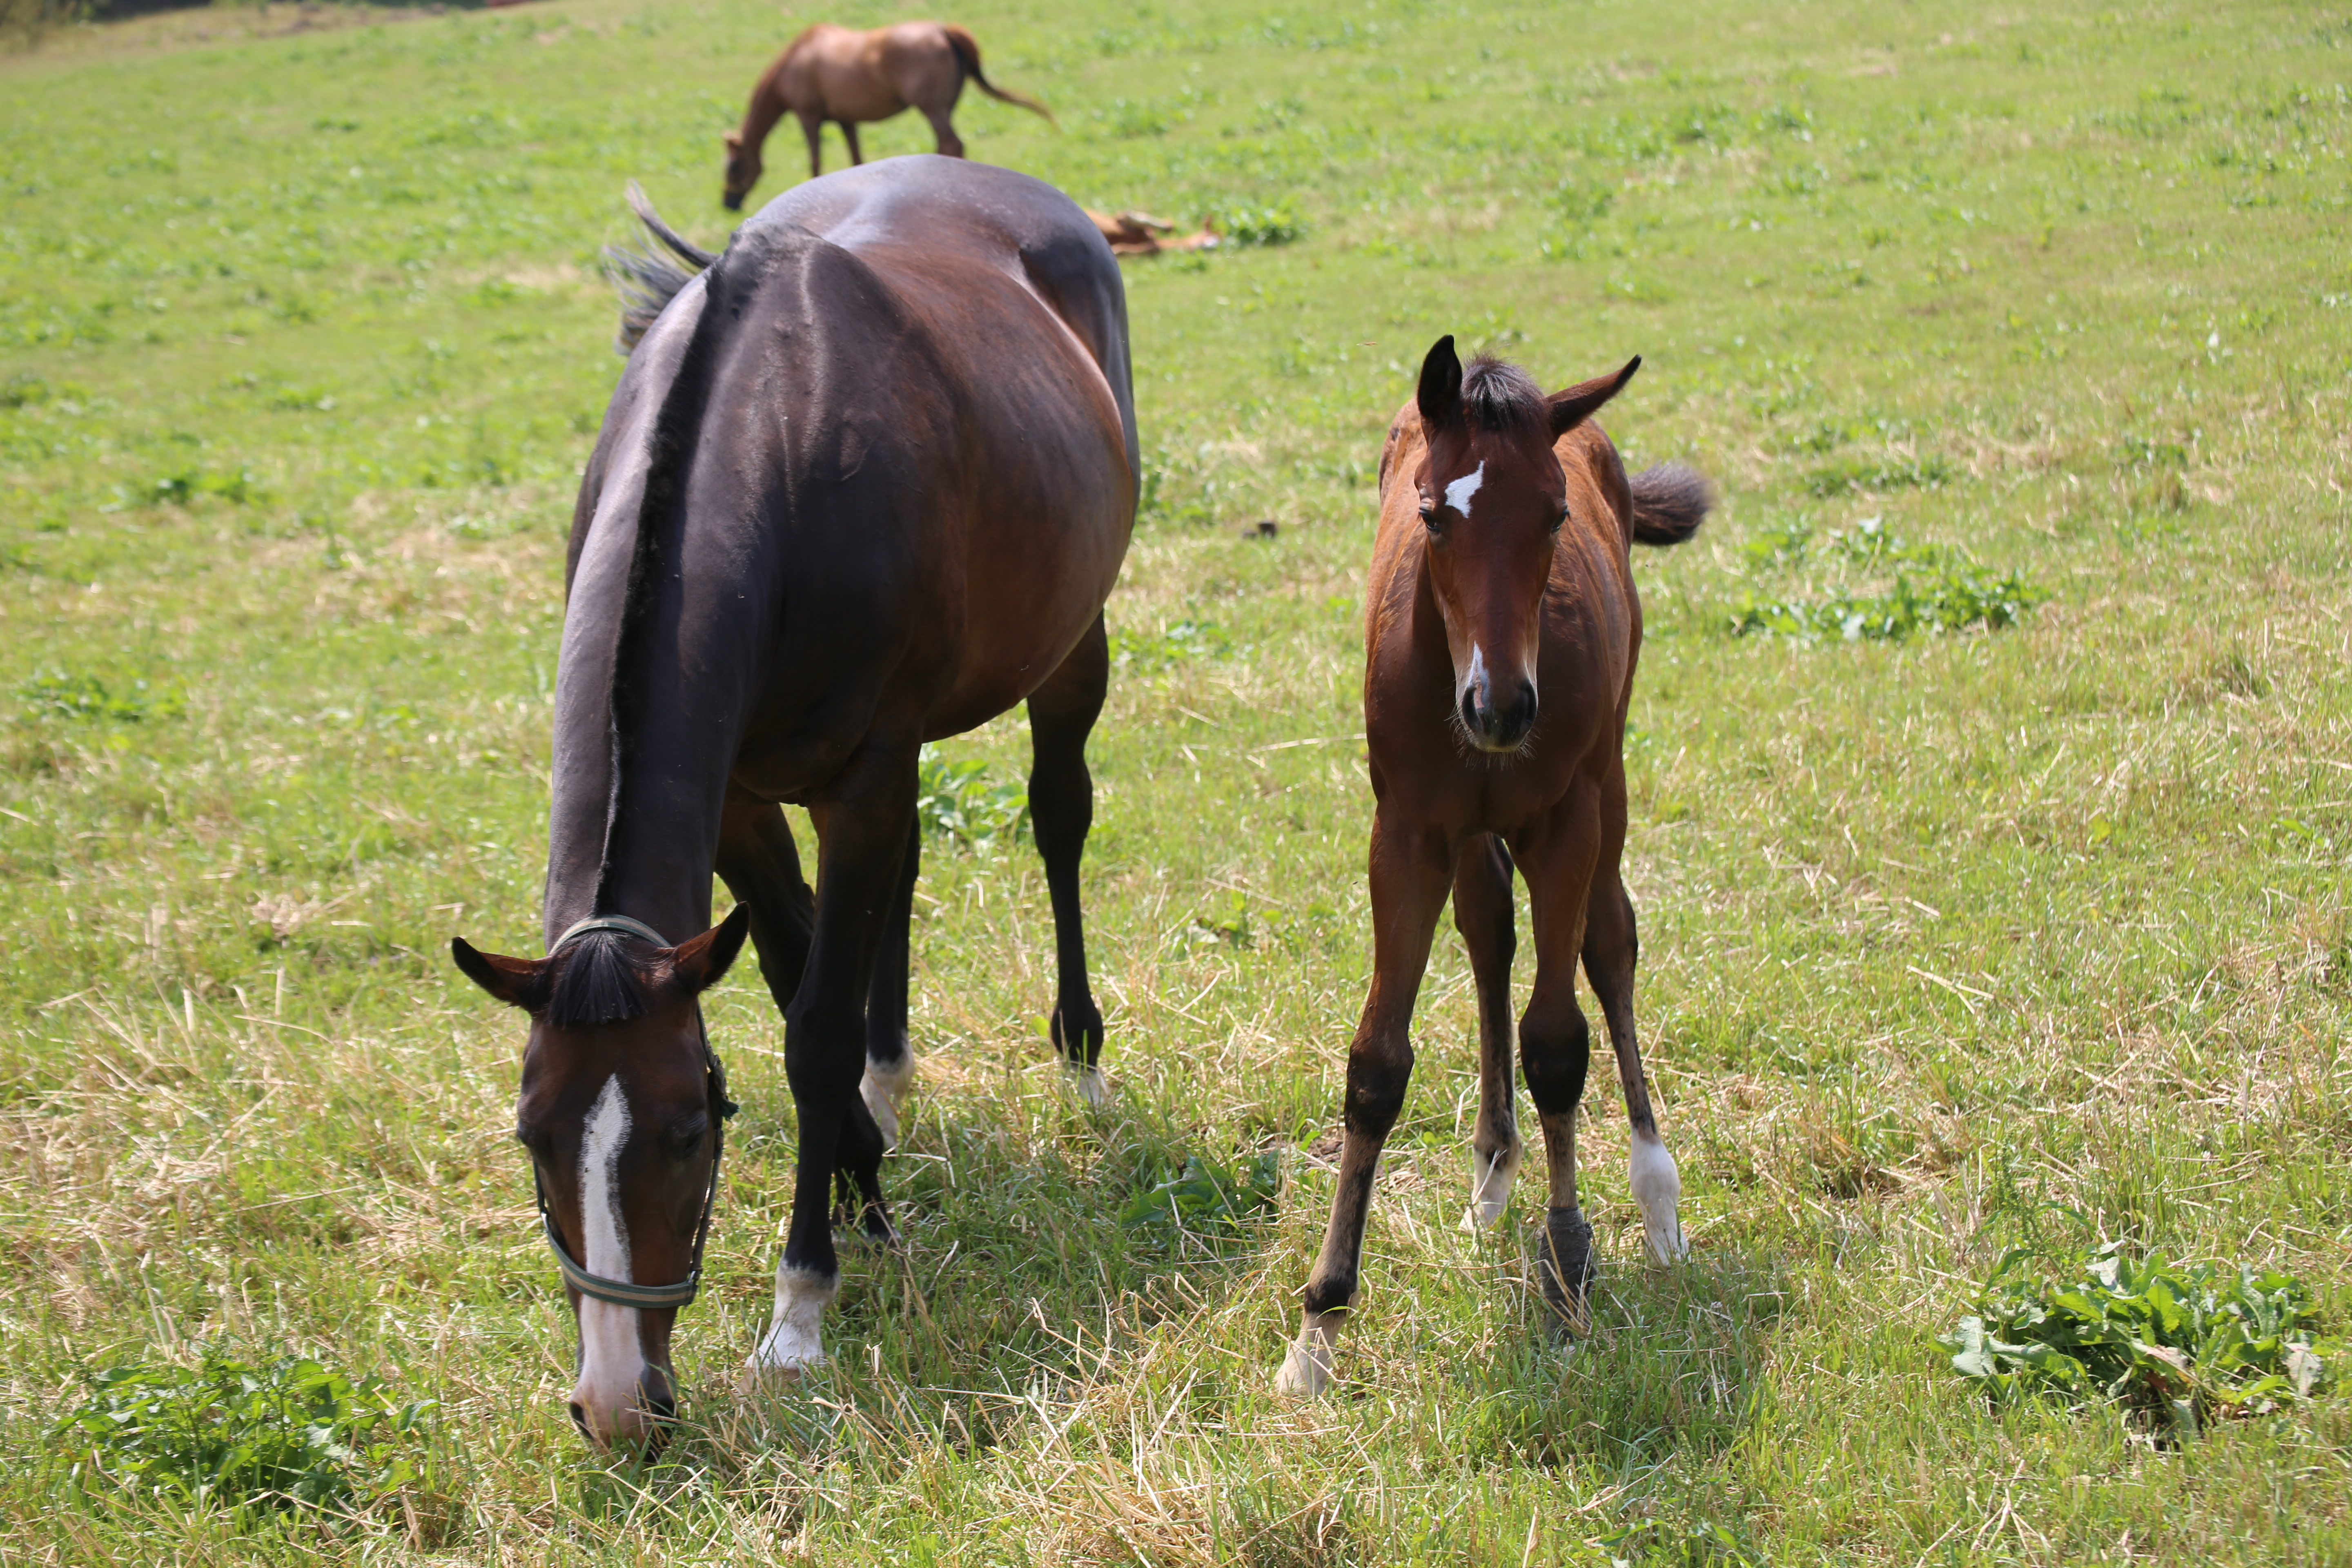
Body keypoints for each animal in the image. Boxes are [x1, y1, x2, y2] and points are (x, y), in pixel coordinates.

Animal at [451, 160, 1138, 1448]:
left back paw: (1079, 1057)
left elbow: (810, 1033)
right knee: (895, 887)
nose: (616, 1402)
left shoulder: (860, 777)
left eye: (690, 1126)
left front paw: (802, 1301)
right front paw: (866, 1173)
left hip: (1071, 647)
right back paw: (893, 1069)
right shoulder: (737, 804)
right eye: (531, 1136)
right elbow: (791, 965)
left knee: (1058, 816)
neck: (770, 430)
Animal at [715, 21, 1049, 210]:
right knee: (946, 144)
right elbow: (856, 160)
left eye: (734, 166)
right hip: (945, 107)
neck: (795, 60)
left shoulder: (809, 117)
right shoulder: (846, 121)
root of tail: (943, 30)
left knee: (952, 144)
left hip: (932, 108)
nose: (728, 204)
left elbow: (815, 163)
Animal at [1279, 339, 1722, 1392]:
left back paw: (1655, 1195)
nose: (1503, 707)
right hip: (1475, 831)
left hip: (1606, 786)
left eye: (1554, 514)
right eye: (1432, 514)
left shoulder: (1564, 822)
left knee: (1610, 942)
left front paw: (1567, 1267)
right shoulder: (1403, 833)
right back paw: (1491, 1167)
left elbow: (1557, 1042)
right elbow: (1375, 1063)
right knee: (1488, 933)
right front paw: (1318, 1326)